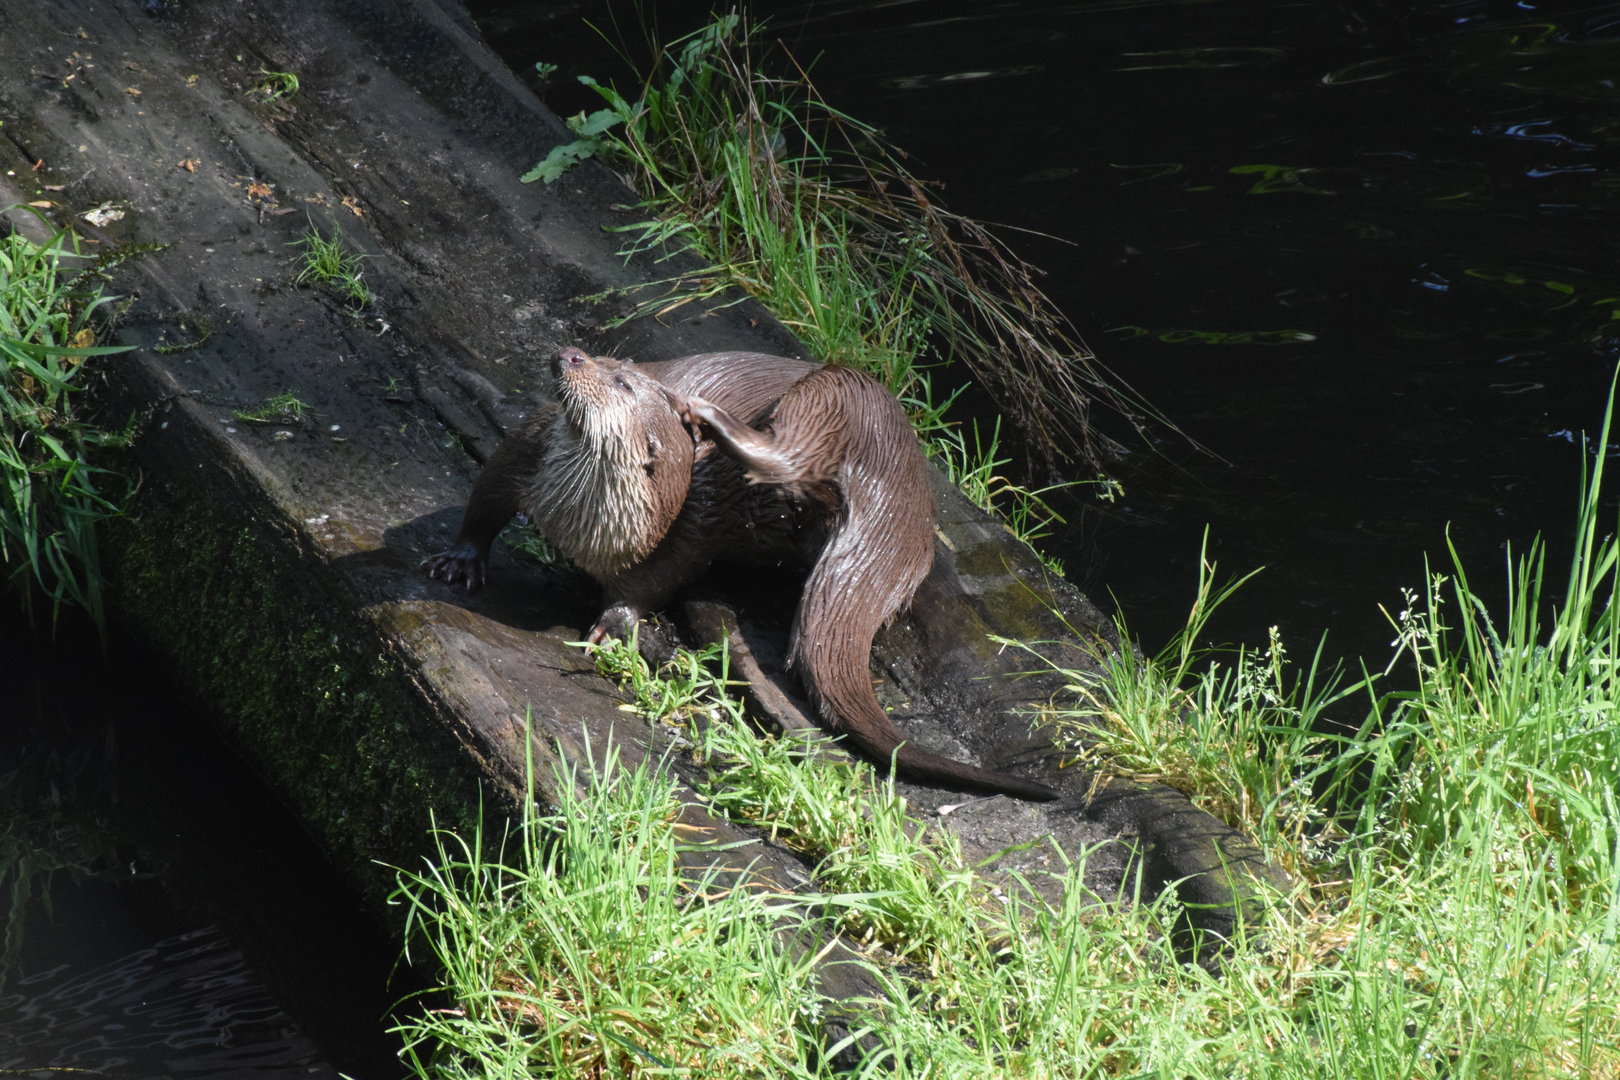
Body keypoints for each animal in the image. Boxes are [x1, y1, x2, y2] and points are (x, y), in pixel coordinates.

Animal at [423, 347, 1060, 802]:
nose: (570, 353)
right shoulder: (534, 444)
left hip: (839, 395)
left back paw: (704, 416)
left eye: (622, 382)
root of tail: (899, 487)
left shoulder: (692, 519)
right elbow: (489, 491)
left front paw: (614, 624)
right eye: (605, 360)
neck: (583, 517)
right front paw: (459, 561)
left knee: (789, 450)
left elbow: (654, 579)